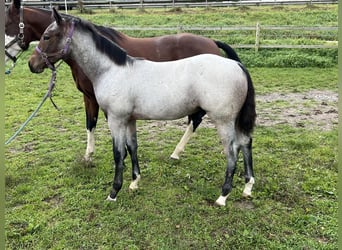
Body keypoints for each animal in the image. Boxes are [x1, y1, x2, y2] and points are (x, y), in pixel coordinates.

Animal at [4, 0, 242, 162]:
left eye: (8, 24)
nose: (31, 64)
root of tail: (212, 42)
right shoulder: (89, 97)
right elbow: (90, 123)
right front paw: (88, 155)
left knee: (196, 119)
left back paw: (176, 152)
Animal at [28, 8, 255, 206]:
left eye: (47, 36)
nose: (32, 64)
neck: (111, 70)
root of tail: (237, 66)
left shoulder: (116, 120)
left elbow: (118, 153)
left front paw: (113, 192)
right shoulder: (129, 119)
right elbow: (133, 147)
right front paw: (134, 182)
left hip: (223, 120)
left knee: (232, 152)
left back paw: (223, 196)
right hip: (234, 121)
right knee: (245, 143)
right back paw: (247, 187)